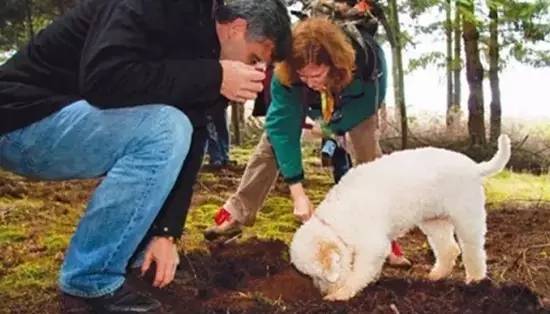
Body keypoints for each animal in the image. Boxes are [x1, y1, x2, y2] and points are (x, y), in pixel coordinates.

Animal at [294, 135, 512, 302]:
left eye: (319, 276)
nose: (322, 292)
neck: (336, 221)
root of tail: (474, 167)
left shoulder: (373, 245)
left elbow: (358, 273)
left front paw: (341, 294)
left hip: (467, 218)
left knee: (473, 251)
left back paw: (475, 280)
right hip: (434, 221)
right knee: (450, 249)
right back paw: (437, 275)